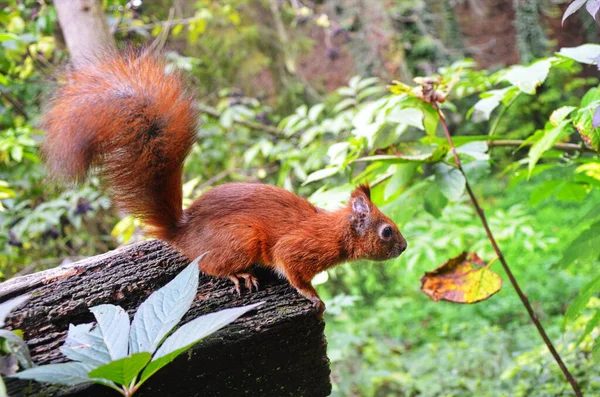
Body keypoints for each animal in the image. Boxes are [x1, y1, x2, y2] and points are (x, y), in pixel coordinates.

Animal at [42, 51, 408, 312]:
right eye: (386, 231)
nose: (404, 247)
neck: (335, 232)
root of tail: (183, 233)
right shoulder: (297, 248)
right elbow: (292, 272)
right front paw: (314, 297)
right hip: (242, 238)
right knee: (210, 266)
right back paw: (239, 274)